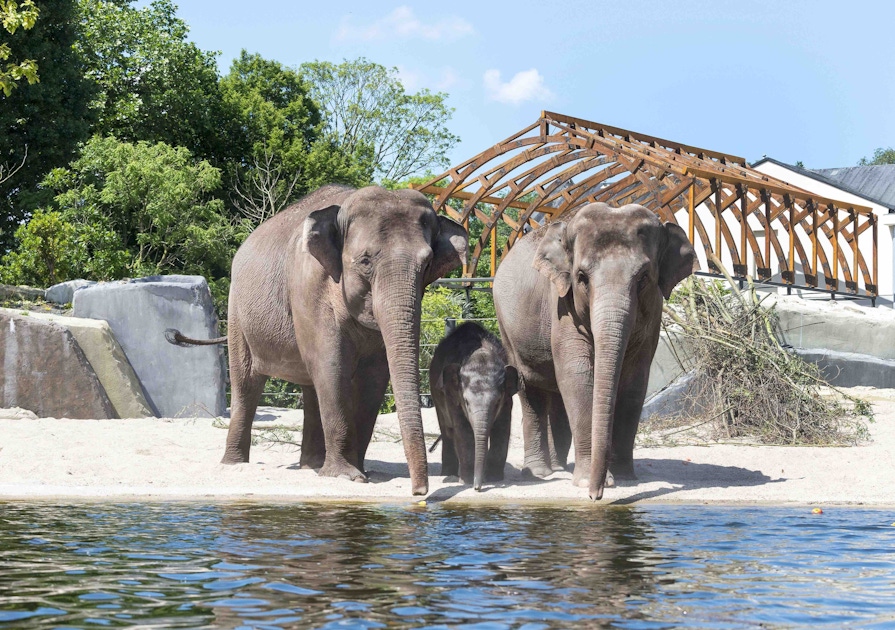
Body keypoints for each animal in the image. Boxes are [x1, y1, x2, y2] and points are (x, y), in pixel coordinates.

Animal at [169, 185, 468, 496]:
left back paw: (311, 466)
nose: (419, 492)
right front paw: (347, 476)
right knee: (247, 384)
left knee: (310, 387)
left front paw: (359, 472)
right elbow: (331, 365)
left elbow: (374, 376)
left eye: (427, 263)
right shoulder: (309, 286)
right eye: (365, 261)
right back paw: (235, 464)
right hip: (238, 311)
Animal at [428, 324, 520, 492]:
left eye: (497, 401)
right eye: (466, 402)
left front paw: (494, 478)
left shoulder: (507, 401)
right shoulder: (453, 398)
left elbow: (502, 428)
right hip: (436, 393)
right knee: (447, 432)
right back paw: (448, 474)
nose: (478, 488)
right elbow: (463, 431)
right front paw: (467, 481)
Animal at [494, 205, 696, 502]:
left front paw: (625, 478)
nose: (595, 495)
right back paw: (539, 473)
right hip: (506, 326)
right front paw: (588, 481)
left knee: (556, 395)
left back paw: (559, 467)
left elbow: (635, 381)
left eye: (644, 277)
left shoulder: (653, 314)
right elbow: (577, 376)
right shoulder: (561, 304)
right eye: (581, 277)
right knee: (530, 388)